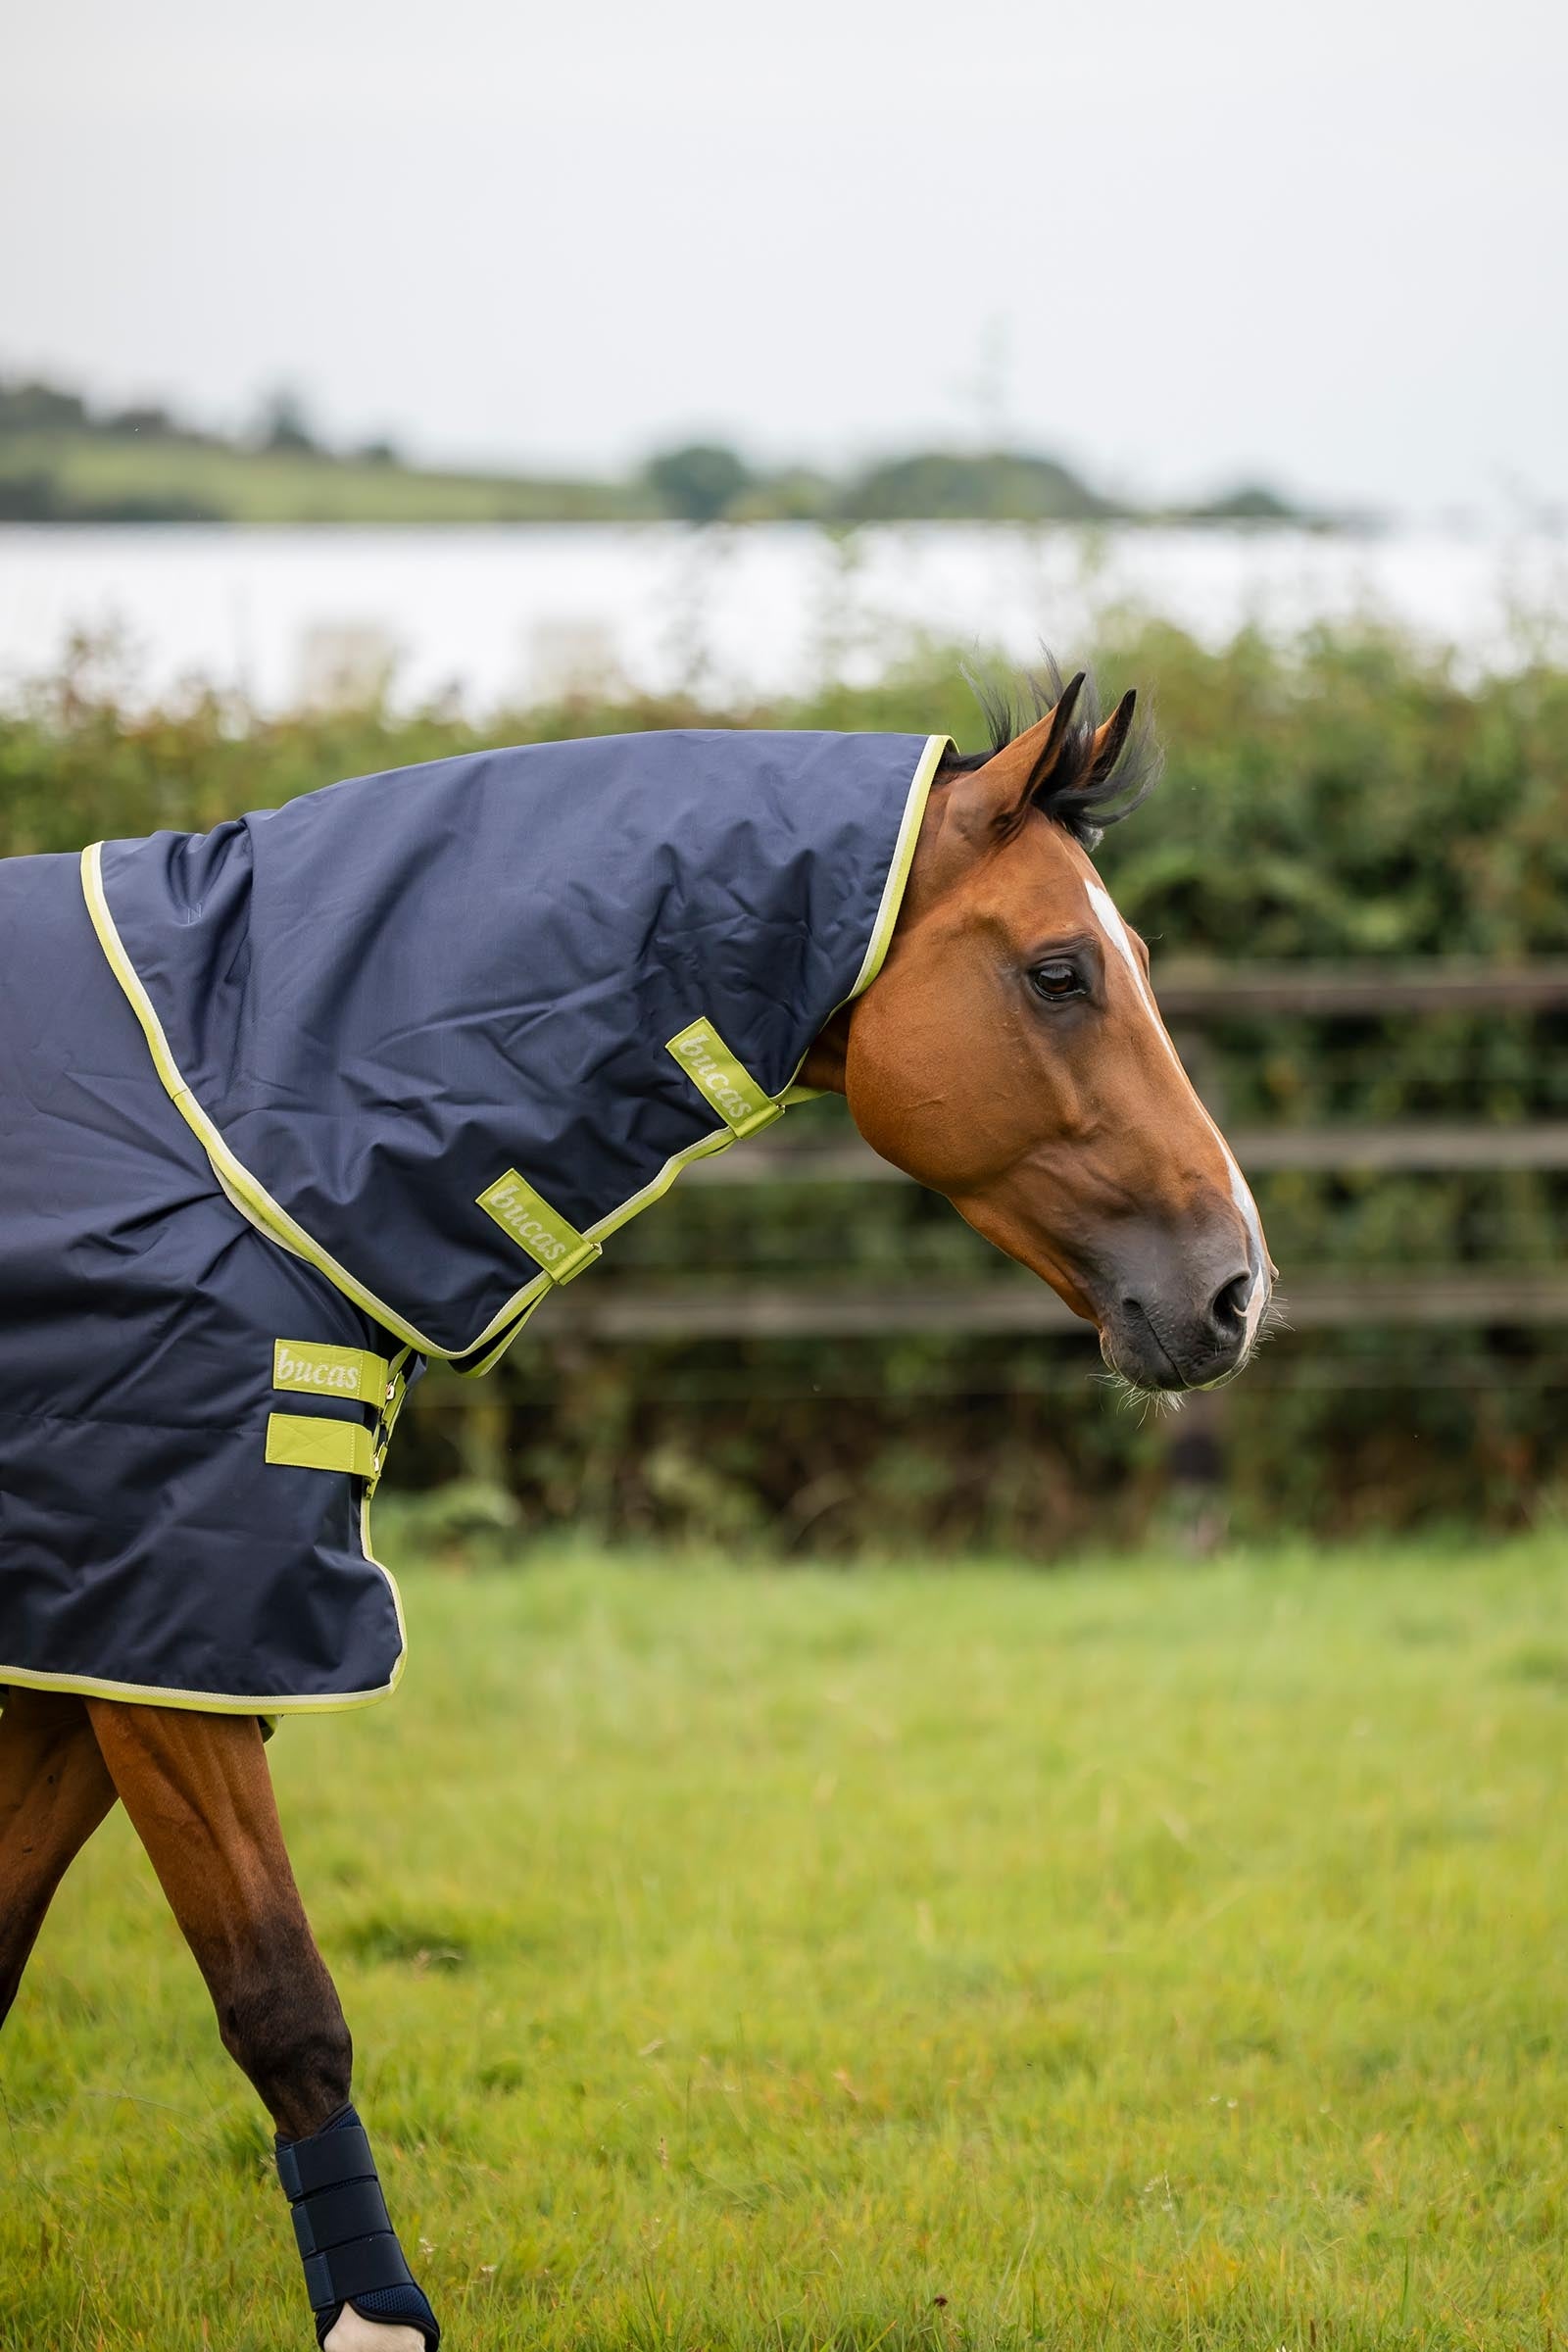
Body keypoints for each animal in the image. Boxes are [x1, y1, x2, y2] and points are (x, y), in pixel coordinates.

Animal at [0, 670, 1273, 2349]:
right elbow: (281, 1998)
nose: (1236, 1286)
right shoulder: (177, 1623)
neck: (220, 1106)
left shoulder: (102, 1632)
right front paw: (376, 2320)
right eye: (1063, 973)